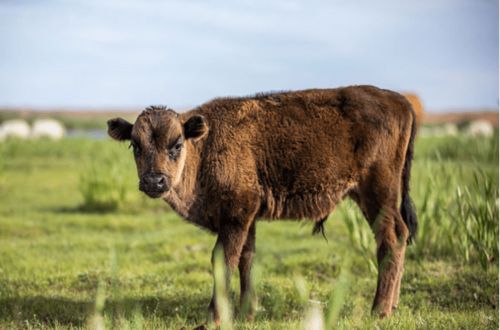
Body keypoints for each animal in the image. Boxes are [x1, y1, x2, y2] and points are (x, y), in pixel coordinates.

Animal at [107, 85, 416, 322]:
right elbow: (247, 259)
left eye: (177, 144)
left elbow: (224, 260)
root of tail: (399, 101)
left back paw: (379, 311)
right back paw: (393, 305)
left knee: (391, 238)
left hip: (378, 195)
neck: (205, 147)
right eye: (135, 145)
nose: (154, 181)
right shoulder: (247, 218)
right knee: (400, 237)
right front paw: (247, 313)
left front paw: (214, 317)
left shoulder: (236, 215)